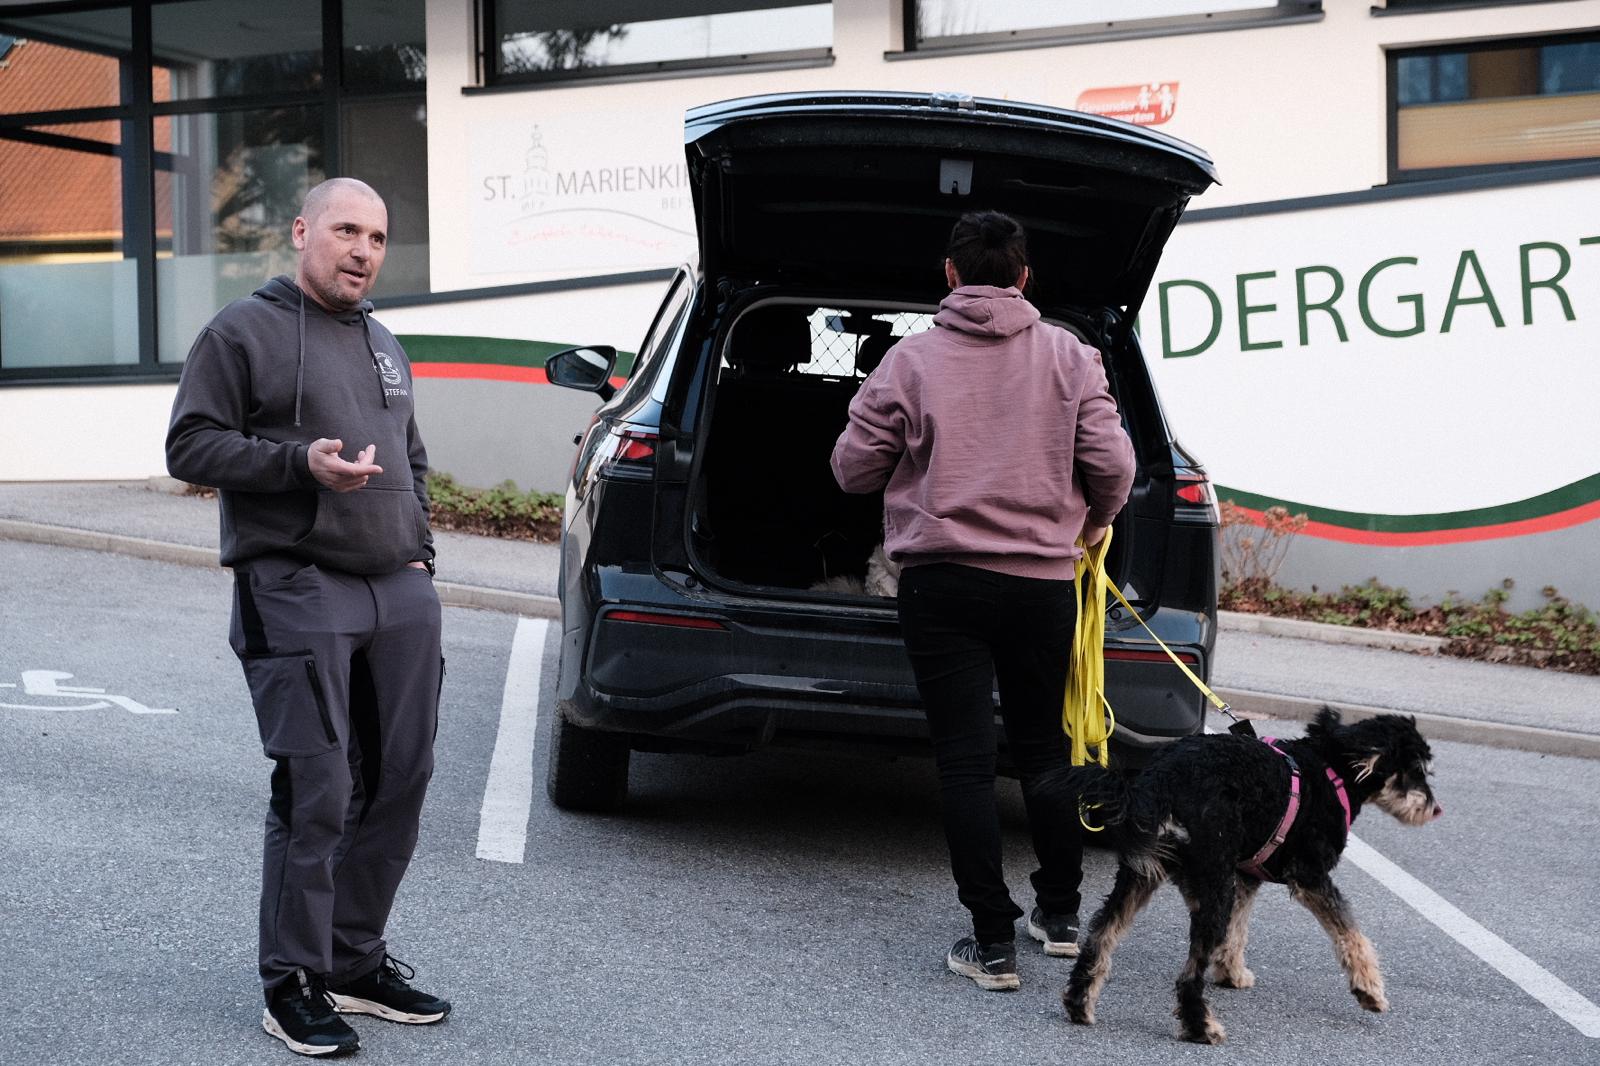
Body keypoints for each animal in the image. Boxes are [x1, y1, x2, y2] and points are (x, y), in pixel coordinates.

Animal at [1041, 708, 1441, 1044]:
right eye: (1416, 770)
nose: (1435, 809)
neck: (1332, 771)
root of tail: (1161, 782)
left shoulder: (1245, 877)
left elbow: (1239, 929)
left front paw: (1231, 971)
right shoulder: (1310, 877)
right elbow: (1351, 933)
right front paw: (1369, 989)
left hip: (1144, 877)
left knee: (1101, 933)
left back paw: (1079, 1002)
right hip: (1211, 887)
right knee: (1189, 976)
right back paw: (1201, 1027)